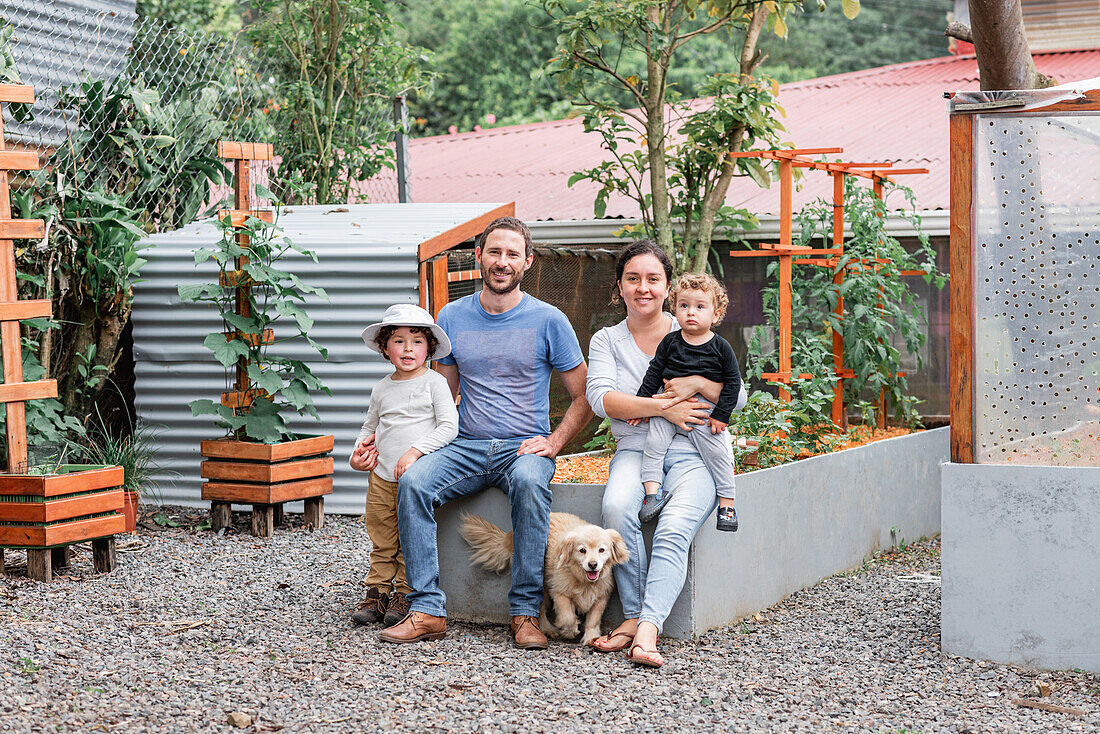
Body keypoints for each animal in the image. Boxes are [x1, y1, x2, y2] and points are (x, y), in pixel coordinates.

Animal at [455, 515, 629, 647]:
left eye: (602, 550)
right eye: (582, 550)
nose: (593, 564)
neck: (584, 581)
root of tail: (511, 535)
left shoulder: (601, 597)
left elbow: (593, 619)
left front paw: (591, 637)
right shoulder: (559, 593)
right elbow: (567, 617)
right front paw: (569, 631)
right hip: (542, 589)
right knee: (540, 611)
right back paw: (547, 629)